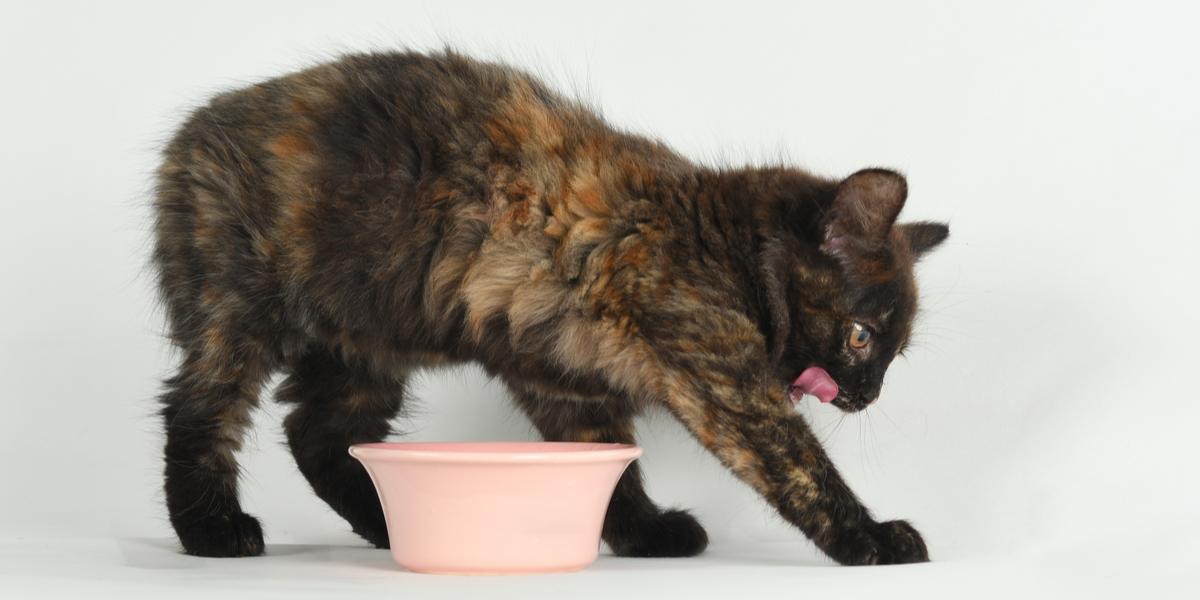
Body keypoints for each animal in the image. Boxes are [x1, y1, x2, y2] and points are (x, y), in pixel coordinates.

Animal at [154, 49, 945, 564]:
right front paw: (871, 539)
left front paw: (643, 533)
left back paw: (386, 519)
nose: (868, 396)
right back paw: (213, 529)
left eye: (890, 353)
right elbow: (800, 467)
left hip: (364, 349)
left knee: (315, 433)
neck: (717, 238)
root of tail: (196, 126)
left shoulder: (567, 381)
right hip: (237, 317)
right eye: (861, 337)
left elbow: (611, 467)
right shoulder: (725, 381)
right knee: (199, 411)